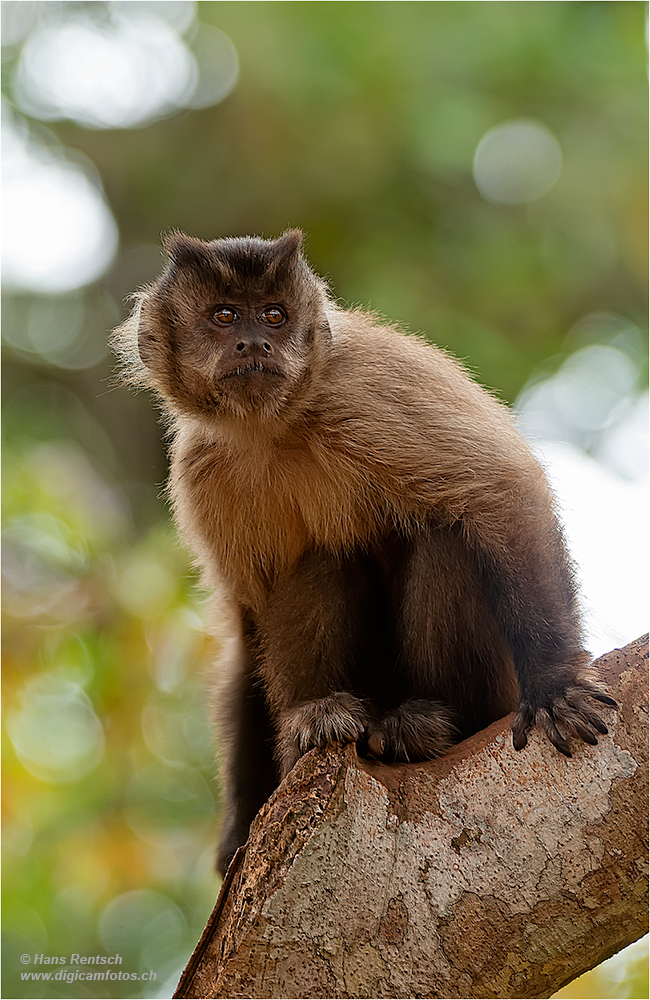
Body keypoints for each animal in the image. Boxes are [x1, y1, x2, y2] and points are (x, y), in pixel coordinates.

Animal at [114, 229, 616, 876]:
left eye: (274, 316)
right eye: (224, 316)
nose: (254, 341)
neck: (275, 425)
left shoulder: (365, 386)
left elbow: (505, 492)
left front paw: (555, 682)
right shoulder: (202, 471)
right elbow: (247, 624)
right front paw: (239, 826)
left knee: (442, 538)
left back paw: (430, 723)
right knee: (320, 563)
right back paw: (318, 721)